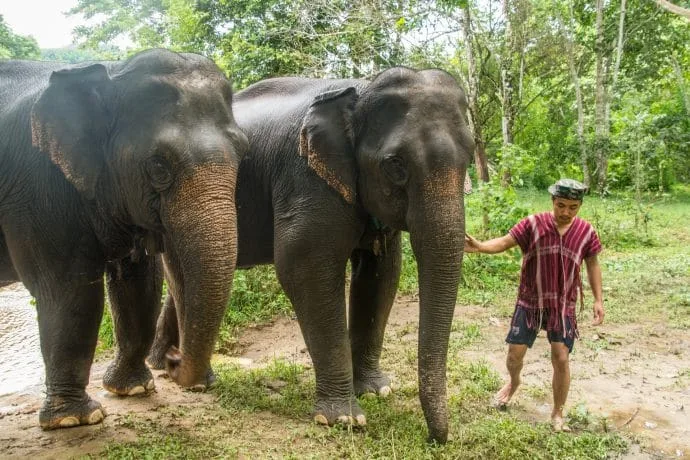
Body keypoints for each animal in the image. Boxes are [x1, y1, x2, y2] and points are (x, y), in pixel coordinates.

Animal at [0, 49, 248, 430]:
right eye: (159, 165)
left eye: (243, 152)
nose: (173, 360)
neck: (111, 73)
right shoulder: (37, 186)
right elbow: (70, 290)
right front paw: (74, 419)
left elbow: (140, 281)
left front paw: (133, 389)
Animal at [148, 67, 474, 443]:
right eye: (395, 165)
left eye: (470, 156)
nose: (435, 439)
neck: (360, 89)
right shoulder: (304, 177)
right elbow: (303, 267)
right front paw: (343, 419)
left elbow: (382, 273)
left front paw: (377, 391)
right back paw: (191, 378)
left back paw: (165, 365)